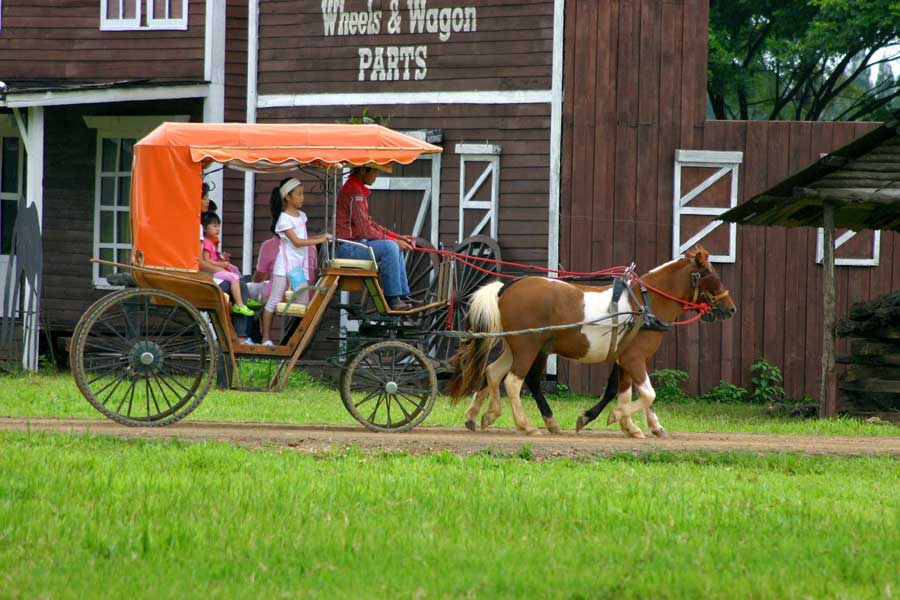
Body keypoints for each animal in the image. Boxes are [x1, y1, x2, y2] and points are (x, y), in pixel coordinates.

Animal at [446, 246, 736, 438]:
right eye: (708, 272)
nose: (730, 308)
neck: (644, 304)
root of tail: (507, 288)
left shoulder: (624, 359)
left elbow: (623, 391)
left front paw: (636, 426)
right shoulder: (634, 359)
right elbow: (647, 393)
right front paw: (617, 416)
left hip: (515, 346)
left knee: (493, 373)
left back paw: (485, 415)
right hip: (528, 347)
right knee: (514, 382)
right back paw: (526, 425)